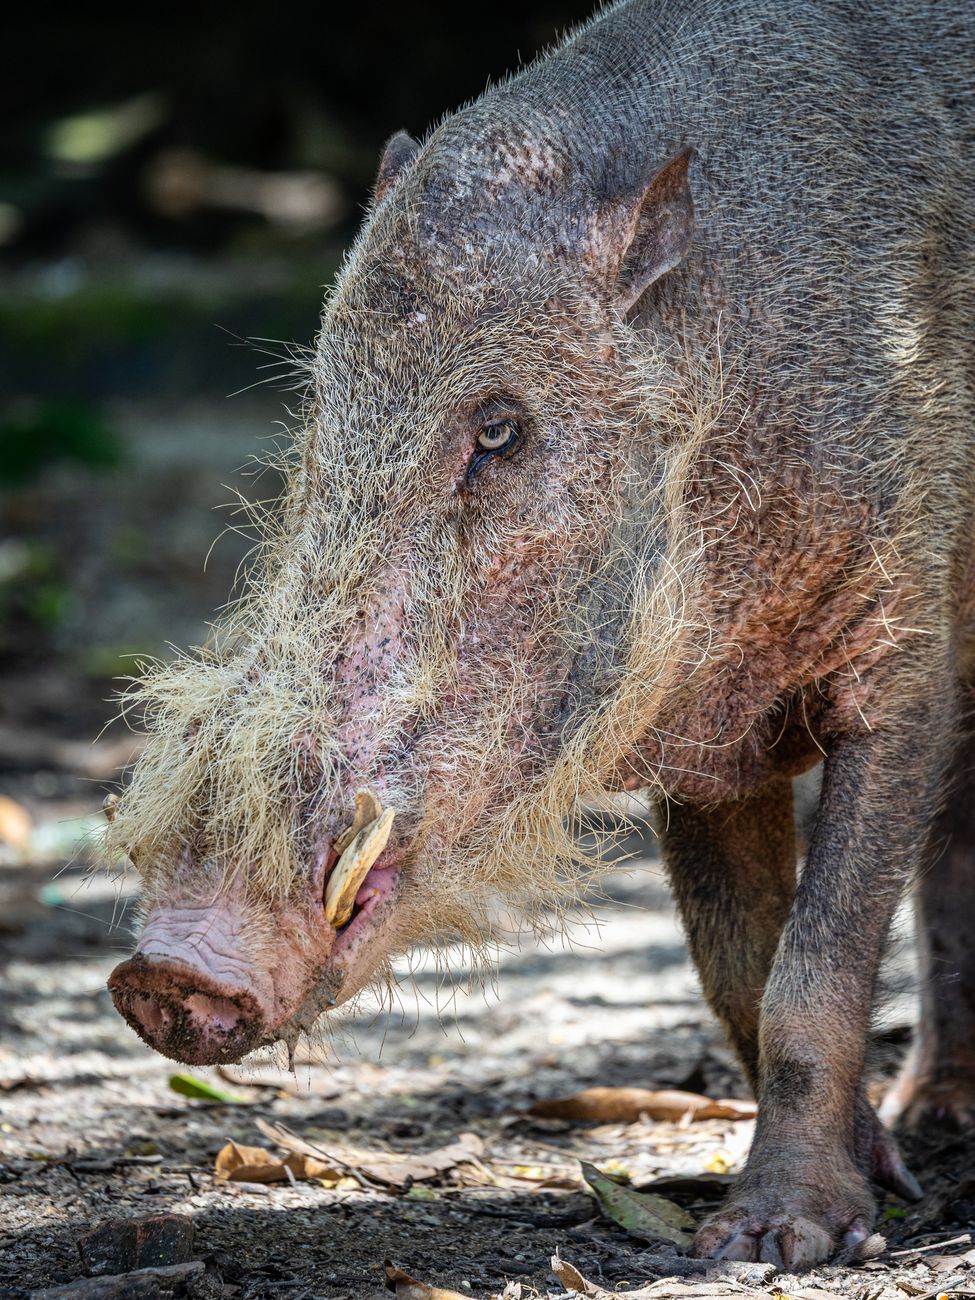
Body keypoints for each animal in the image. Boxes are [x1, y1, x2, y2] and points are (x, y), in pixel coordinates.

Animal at [105, 0, 975, 1270]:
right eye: (323, 412)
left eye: (501, 430)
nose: (162, 970)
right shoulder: (704, 745)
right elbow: (737, 967)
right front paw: (835, 1191)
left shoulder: (906, 657)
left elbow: (814, 967)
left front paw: (783, 1241)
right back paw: (935, 1121)